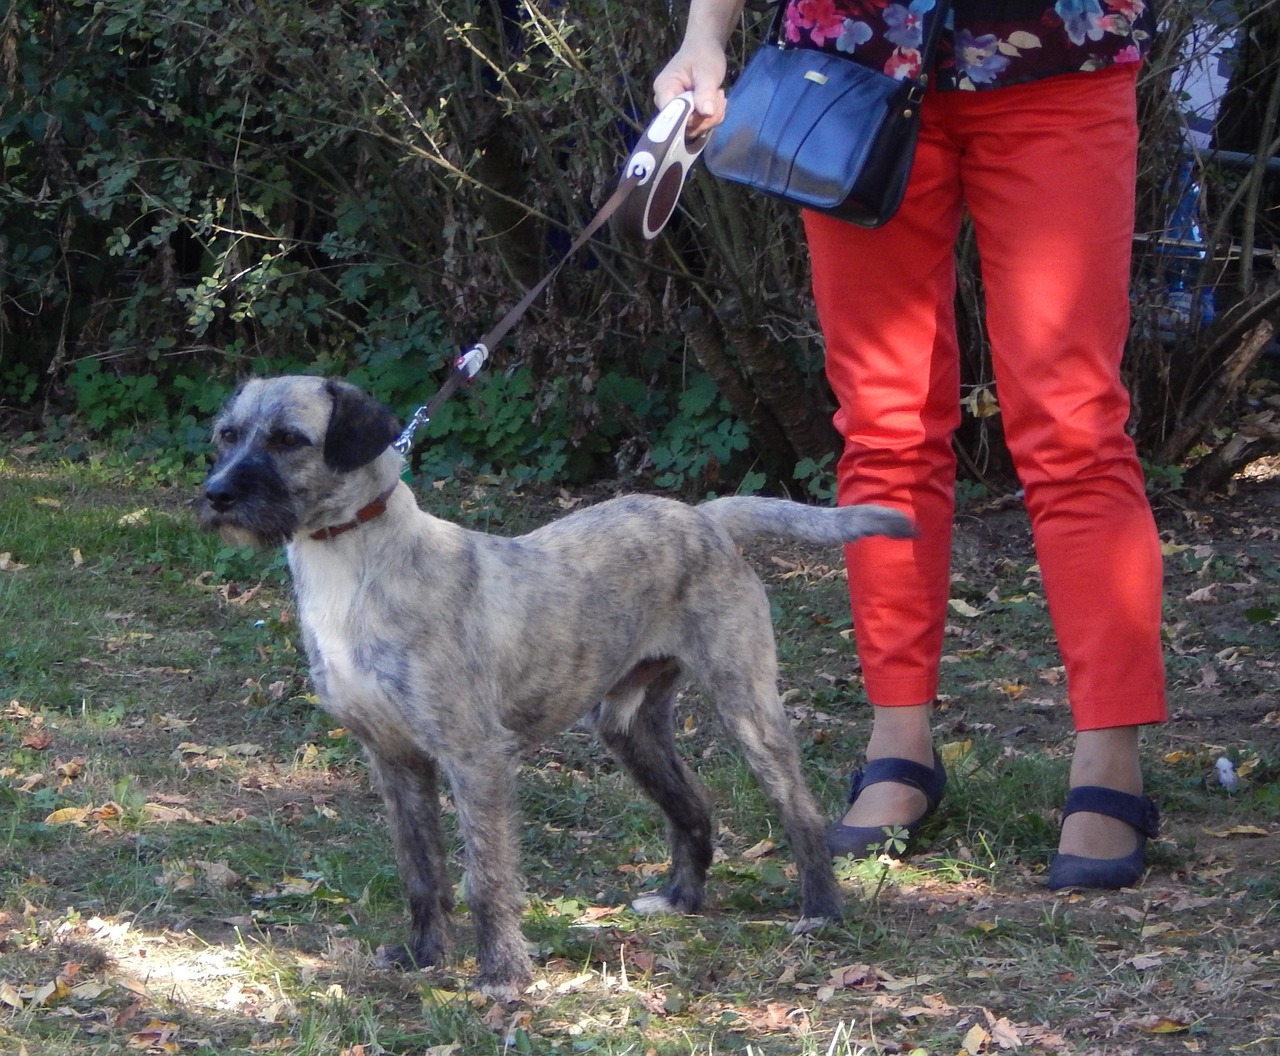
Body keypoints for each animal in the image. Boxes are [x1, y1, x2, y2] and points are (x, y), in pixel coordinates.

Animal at [194, 376, 916, 998]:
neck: (357, 563)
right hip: (628, 728)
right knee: (692, 806)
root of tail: (704, 517)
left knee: (799, 810)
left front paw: (501, 975)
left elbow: (486, 877)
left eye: (290, 439)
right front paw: (425, 957)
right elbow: (421, 871)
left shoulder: (475, 758)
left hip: (747, 708)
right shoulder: (395, 760)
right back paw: (680, 900)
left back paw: (820, 910)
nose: (216, 495)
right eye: (227, 436)